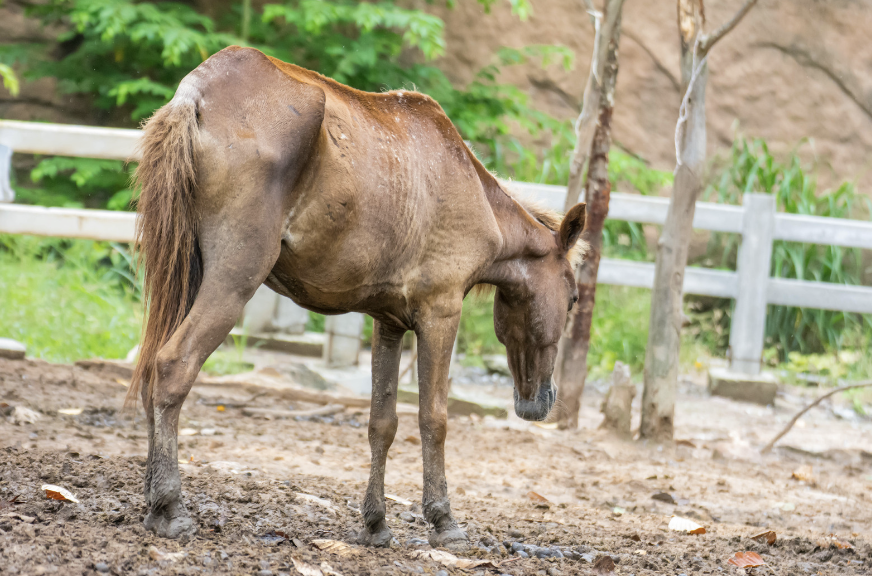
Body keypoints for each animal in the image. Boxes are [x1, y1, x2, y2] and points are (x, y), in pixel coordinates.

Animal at [127, 45, 584, 548]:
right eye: (573, 298)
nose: (539, 401)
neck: (474, 194)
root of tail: (195, 93)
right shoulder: (440, 312)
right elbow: (434, 419)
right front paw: (443, 519)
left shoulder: (389, 322)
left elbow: (381, 424)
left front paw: (375, 522)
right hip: (233, 280)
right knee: (173, 367)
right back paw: (170, 506)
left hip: (186, 276)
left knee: (149, 372)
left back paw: (152, 501)